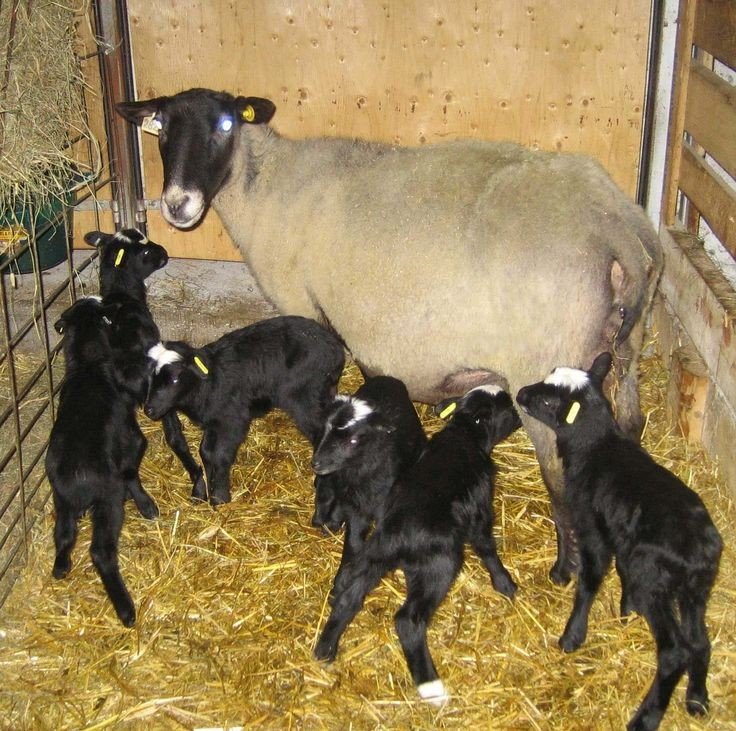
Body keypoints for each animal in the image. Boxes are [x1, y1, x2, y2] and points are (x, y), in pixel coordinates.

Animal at [46, 296, 158, 627]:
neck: (88, 364)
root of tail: (77, 477)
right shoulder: (131, 435)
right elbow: (131, 468)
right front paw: (146, 505)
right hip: (108, 503)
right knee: (100, 552)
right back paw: (126, 609)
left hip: (61, 499)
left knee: (64, 533)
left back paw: (61, 566)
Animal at [85, 228, 205, 496]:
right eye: (147, 251)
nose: (165, 253)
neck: (120, 294)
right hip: (160, 401)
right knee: (174, 436)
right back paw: (198, 480)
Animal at [144, 315, 345, 504]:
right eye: (152, 377)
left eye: (175, 379)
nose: (149, 410)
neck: (207, 384)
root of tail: (335, 348)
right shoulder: (214, 422)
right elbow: (205, 452)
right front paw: (205, 491)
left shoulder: (233, 420)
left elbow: (219, 455)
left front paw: (220, 496)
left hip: (304, 397)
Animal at [311, 376, 427, 596]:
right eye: (324, 429)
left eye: (353, 440)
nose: (316, 463)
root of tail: (388, 378)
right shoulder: (356, 506)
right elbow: (354, 542)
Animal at [516, 353, 723, 731]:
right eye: (550, 375)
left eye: (550, 401)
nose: (521, 393)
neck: (597, 446)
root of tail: (699, 553)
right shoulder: (622, 539)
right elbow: (622, 575)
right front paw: (626, 612)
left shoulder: (593, 531)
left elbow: (590, 581)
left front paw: (572, 636)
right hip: (695, 590)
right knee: (699, 642)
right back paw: (697, 699)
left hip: (654, 582)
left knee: (675, 651)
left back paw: (647, 716)